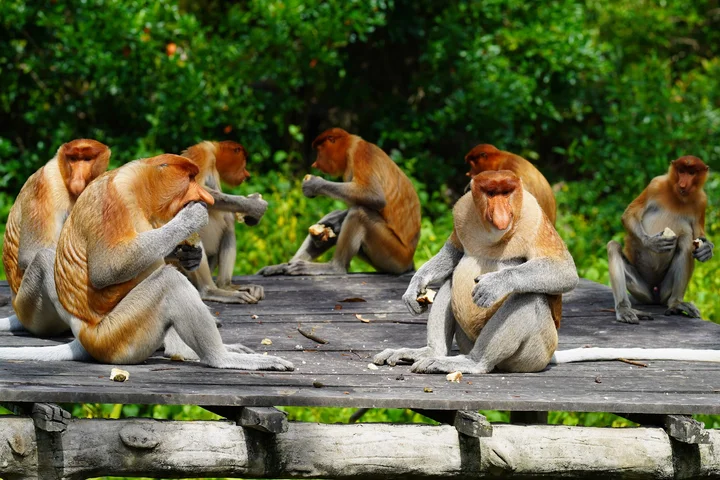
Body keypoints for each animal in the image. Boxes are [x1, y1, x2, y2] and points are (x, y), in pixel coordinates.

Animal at [0, 139, 111, 336]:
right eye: (73, 159)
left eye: (87, 159)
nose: (78, 178)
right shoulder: (47, 184)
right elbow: (32, 253)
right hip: (30, 307)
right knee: (43, 258)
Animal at [180, 141, 268, 304]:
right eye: (243, 160)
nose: (247, 174)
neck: (215, 152)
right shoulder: (203, 153)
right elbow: (192, 190)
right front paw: (254, 205)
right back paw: (210, 291)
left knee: (228, 225)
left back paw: (226, 286)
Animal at [258, 128, 421, 276]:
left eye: (319, 150)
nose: (315, 164)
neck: (351, 147)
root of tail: (409, 262)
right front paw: (328, 226)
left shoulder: (361, 154)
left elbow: (374, 196)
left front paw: (314, 185)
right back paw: (284, 265)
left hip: (393, 255)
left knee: (359, 213)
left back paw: (334, 267)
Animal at [374, 170, 578, 374]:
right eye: (491, 193)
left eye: (506, 193)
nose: (501, 212)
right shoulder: (462, 210)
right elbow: (453, 253)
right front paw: (415, 286)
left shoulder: (535, 218)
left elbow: (565, 271)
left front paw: (494, 285)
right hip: (467, 340)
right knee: (451, 279)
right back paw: (430, 352)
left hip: (536, 351)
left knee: (529, 296)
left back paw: (472, 362)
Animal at [607, 155, 713, 324]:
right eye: (681, 171)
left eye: (691, 173)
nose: (682, 184)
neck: (677, 196)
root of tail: (654, 295)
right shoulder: (655, 184)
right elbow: (629, 214)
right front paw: (652, 243)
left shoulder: (702, 201)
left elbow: (698, 235)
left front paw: (707, 250)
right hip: (641, 289)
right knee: (613, 246)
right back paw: (624, 309)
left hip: (665, 290)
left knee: (685, 242)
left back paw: (676, 303)